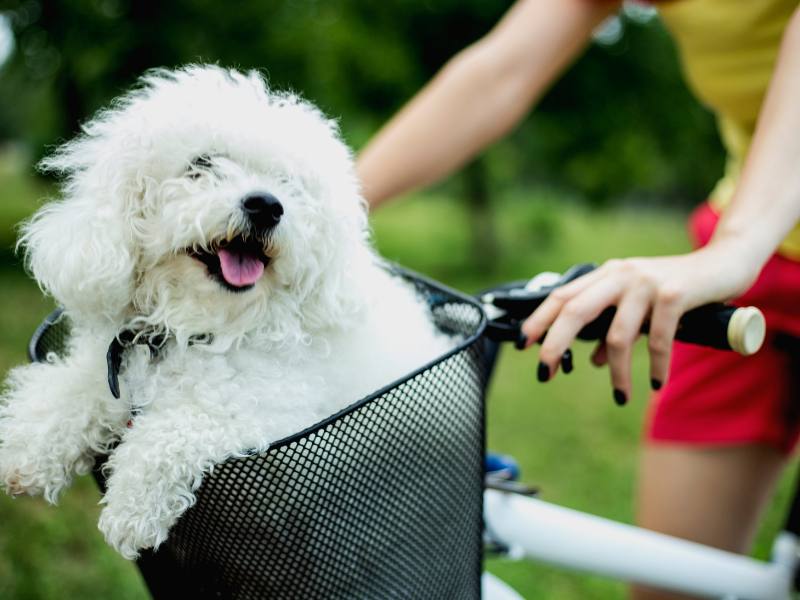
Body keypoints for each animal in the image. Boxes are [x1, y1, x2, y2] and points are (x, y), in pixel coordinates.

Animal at [0, 64, 450, 556]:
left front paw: (132, 507)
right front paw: (27, 447)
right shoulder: (111, 367)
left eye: (289, 184)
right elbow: (70, 389)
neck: (197, 328)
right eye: (203, 165)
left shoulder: (273, 415)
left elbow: (182, 424)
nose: (267, 205)